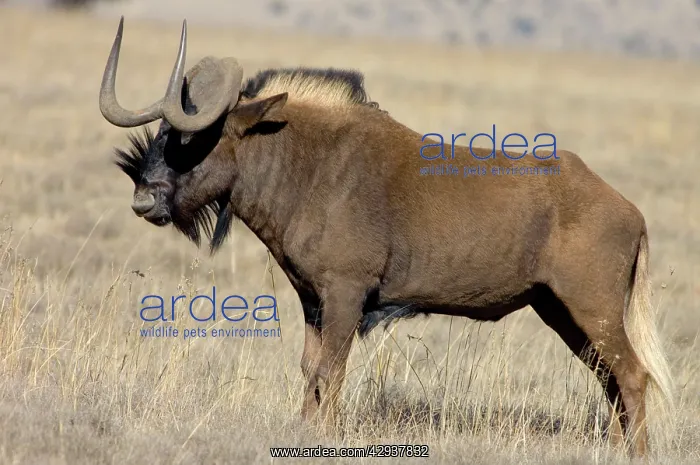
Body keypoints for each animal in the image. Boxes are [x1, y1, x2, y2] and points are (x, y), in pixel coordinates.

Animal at [99, 18, 674, 457]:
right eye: (162, 135)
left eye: (194, 137)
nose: (144, 200)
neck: (306, 165)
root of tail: (630, 211)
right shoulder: (313, 301)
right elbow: (310, 371)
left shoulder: (346, 296)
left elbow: (329, 372)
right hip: (562, 312)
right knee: (610, 380)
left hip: (591, 310)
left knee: (633, 376)